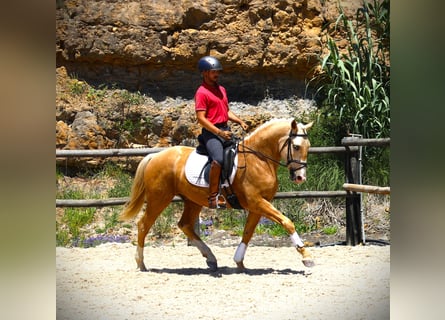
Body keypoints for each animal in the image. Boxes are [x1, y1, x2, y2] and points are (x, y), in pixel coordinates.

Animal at [119, 119, 314, 272]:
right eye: (296, 146)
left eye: (308, 147)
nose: (300, 178)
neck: (259, 160)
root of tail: (155, 155)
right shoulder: (256, 202)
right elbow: (286, 222)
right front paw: (306, 256)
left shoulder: (258, 205)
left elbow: (248, 232)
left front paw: (239, 262)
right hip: (159, 198)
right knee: (143, 225)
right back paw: (141, 263)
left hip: (192, 200)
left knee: (185, 224)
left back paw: (211, 258)